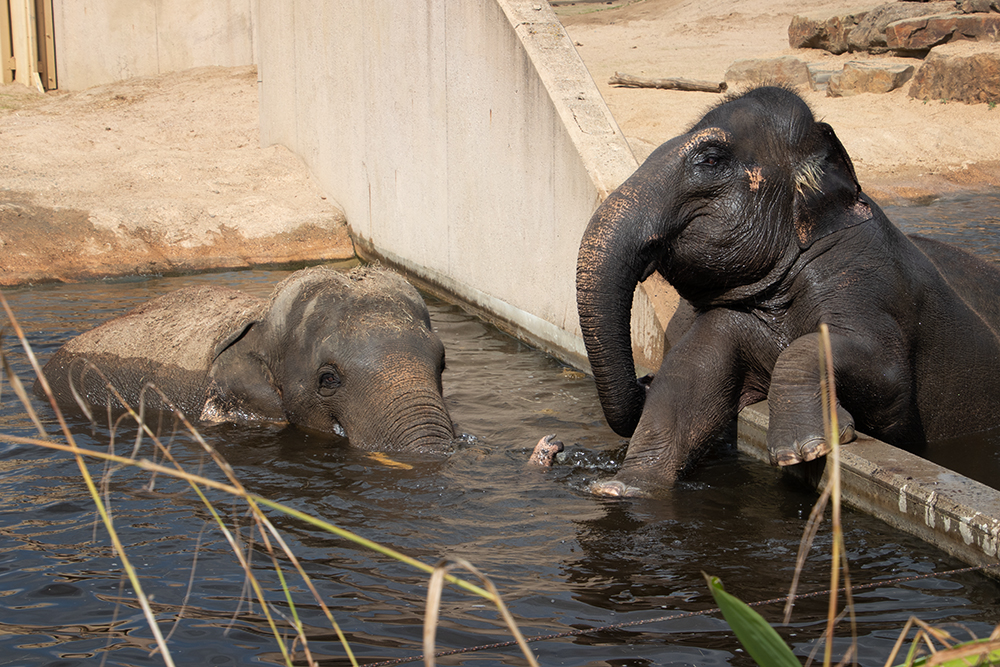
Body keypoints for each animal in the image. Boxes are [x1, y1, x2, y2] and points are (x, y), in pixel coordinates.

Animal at [576, 85, 1000, 496]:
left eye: (710, 160)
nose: (642, 379)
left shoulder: (867, 284)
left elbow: (887, 379)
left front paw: (804, 449)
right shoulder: (730, 320)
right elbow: (688, 376)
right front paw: (621, 488)